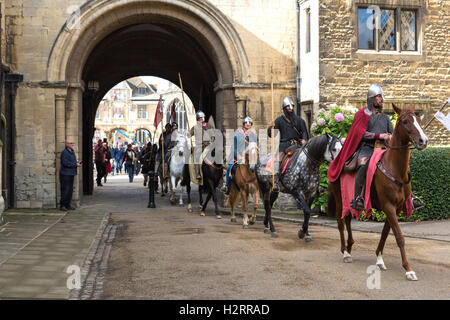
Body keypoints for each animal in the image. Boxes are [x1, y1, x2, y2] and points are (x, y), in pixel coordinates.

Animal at [326, 104, 428, 282]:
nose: (423, 141)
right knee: (340, 222)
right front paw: (408, 269)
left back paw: (350, 247)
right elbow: (399, 237)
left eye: (418, 119)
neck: (394, 169)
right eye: (405, 121)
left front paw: (379, 260)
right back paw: (345, 252)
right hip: (339, 199)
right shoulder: (388, 206)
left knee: (348, 220)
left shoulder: (396, 208)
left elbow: (385, 234)